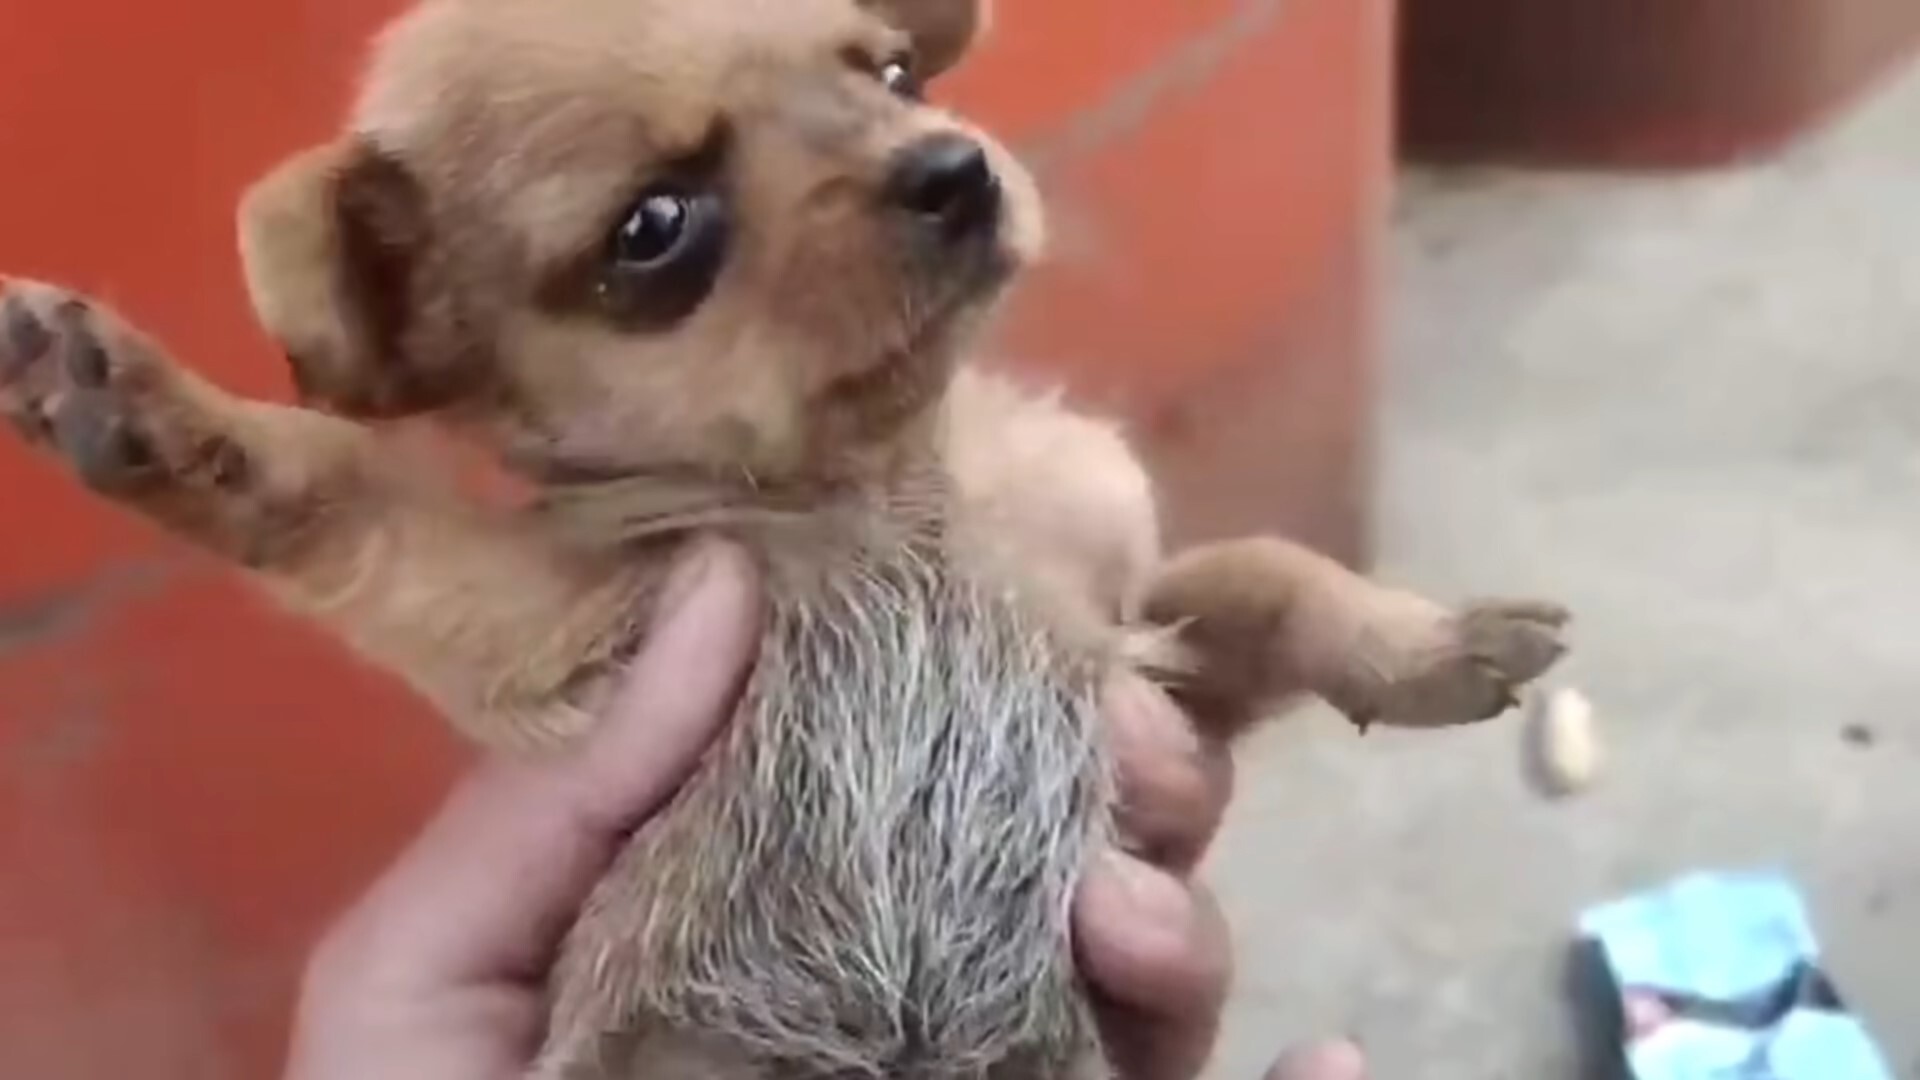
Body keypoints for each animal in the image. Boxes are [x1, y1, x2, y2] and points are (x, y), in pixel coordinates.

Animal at [0, 2, 1559, 1076]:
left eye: (891, 74)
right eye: (654, 227)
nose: (956, 169)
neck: (885, 489)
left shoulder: (1135, 630)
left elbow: (1276, 575)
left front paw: (1429, 644)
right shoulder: (551, 626)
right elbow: (331, 478)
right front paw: (133, 397)